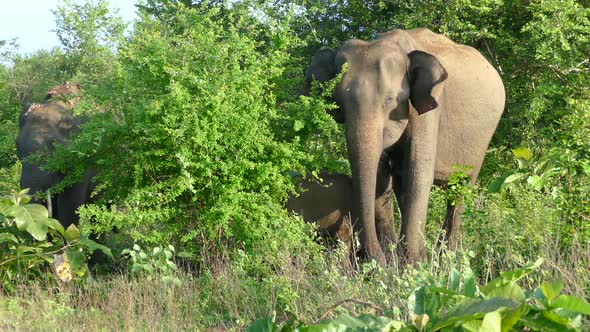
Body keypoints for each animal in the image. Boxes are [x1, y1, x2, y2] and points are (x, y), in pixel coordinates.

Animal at [308, 29, 506, 268]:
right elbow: (381, 179)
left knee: (460, 190)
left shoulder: (430, 109)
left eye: (390, 100)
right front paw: (392, 265)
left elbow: (418, 175)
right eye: (338, 102)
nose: (365, 257)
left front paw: (413, 265)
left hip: (482, 141)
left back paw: (445, 261)